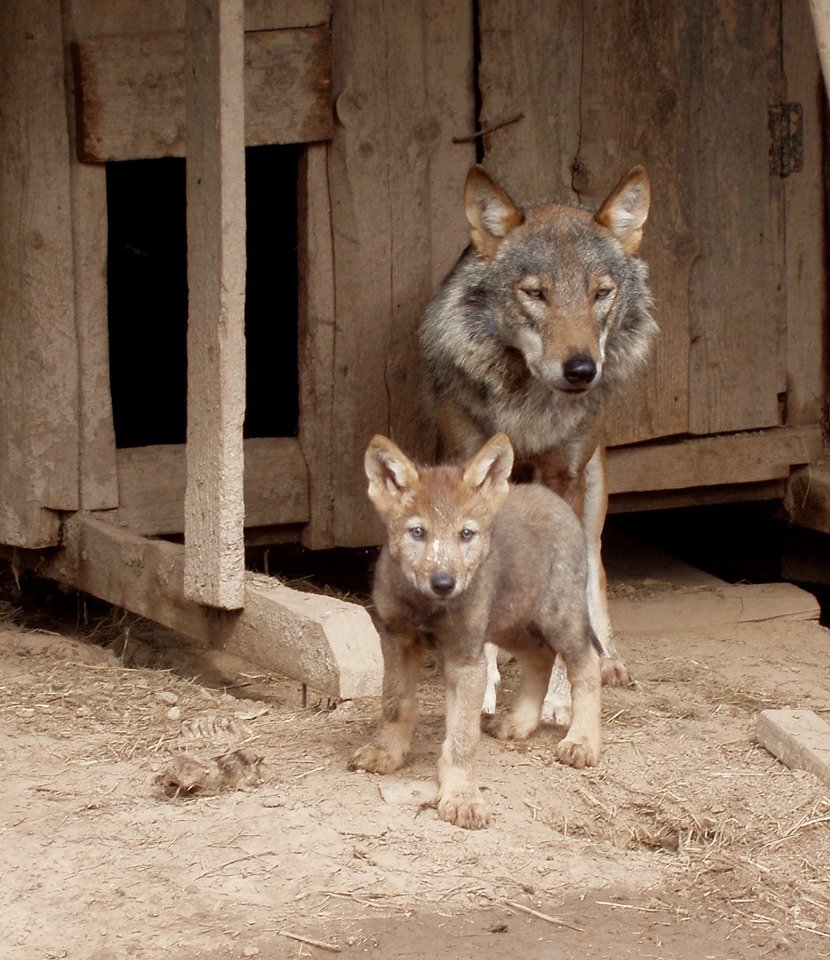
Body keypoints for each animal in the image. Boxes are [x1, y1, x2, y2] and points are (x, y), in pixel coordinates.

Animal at [420, 163, 660, 712]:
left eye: (600, 293)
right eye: (536, 293)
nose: (582, 370)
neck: (529, 408)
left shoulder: (564, 478)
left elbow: (572, 590)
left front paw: (560, 698)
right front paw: (482, 681)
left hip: (592, 492)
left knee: (594, 572)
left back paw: (607, 660)